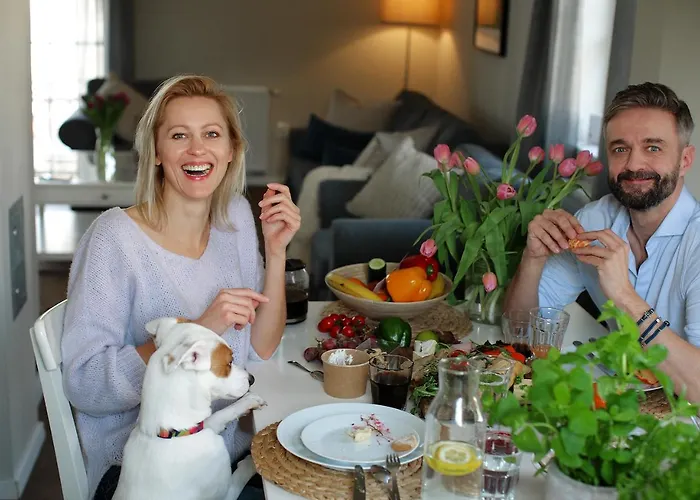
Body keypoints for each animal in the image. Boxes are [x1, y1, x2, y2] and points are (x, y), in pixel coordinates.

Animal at [113, 317, 267, 500]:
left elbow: (219, 415)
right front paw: (253, 462)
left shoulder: (200, 425)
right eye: (229, 362)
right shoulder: (223, 494)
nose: (252, 379)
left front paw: (248, 402)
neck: (172, 433)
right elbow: (239, 476)